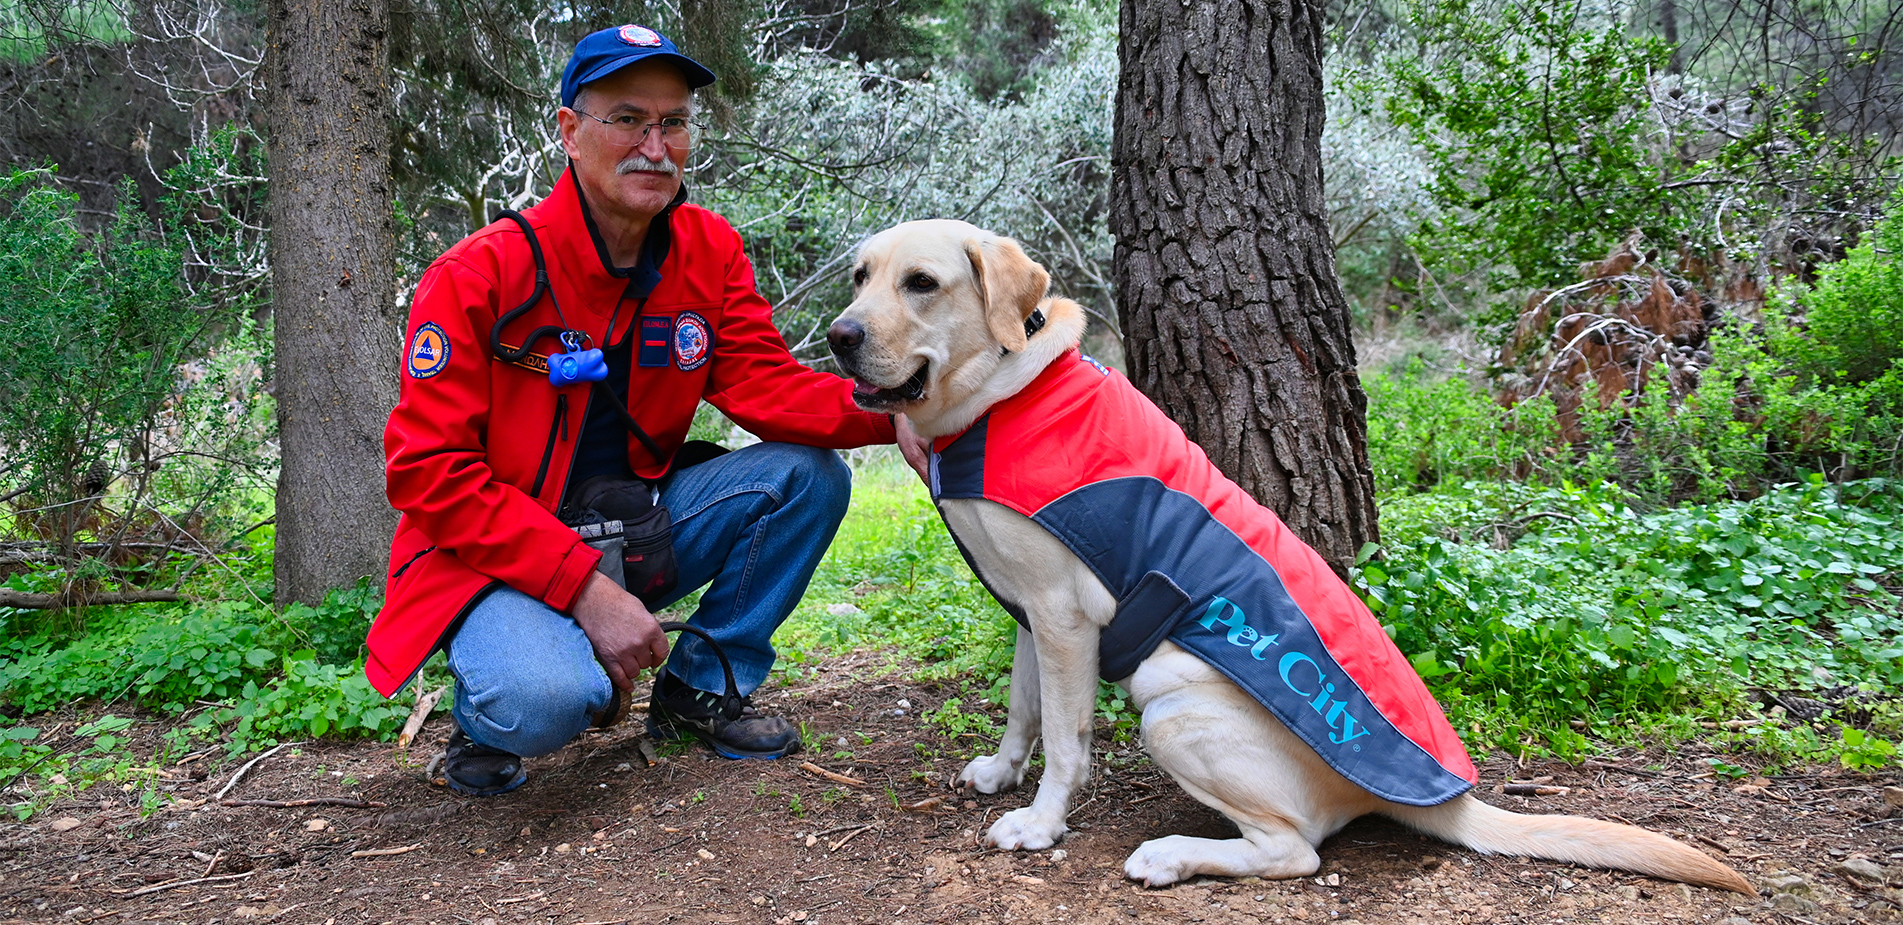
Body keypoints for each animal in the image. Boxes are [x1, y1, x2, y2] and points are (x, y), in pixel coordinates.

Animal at [829, 218, 1750, 894]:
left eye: (921, 283)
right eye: (859, 276)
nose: (839, 336)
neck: (998, 395)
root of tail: (1442, 798)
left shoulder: (1063, 618)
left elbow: (1064, 737)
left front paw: (1040, 822)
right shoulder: (1026, 608)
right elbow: (1023, 711)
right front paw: (998, 771)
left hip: (1170, 703)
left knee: (1296, 850)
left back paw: (1171, 854)